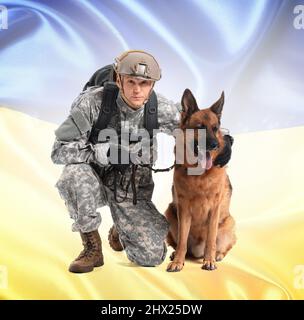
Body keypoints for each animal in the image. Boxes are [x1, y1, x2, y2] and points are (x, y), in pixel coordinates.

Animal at [165, 89, 236, 272]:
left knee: (223, 246)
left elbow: (211, 239)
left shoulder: (214, 210)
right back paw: (177, 255)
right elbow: (182, 241)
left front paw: (209, 260)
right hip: (170, 214)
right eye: (200, 128)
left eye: (215, 128)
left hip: (228, 223)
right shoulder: (184, 209)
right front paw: (178, 262)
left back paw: (216, 255)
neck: (199, 175)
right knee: (180, 244)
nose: (214, 145)